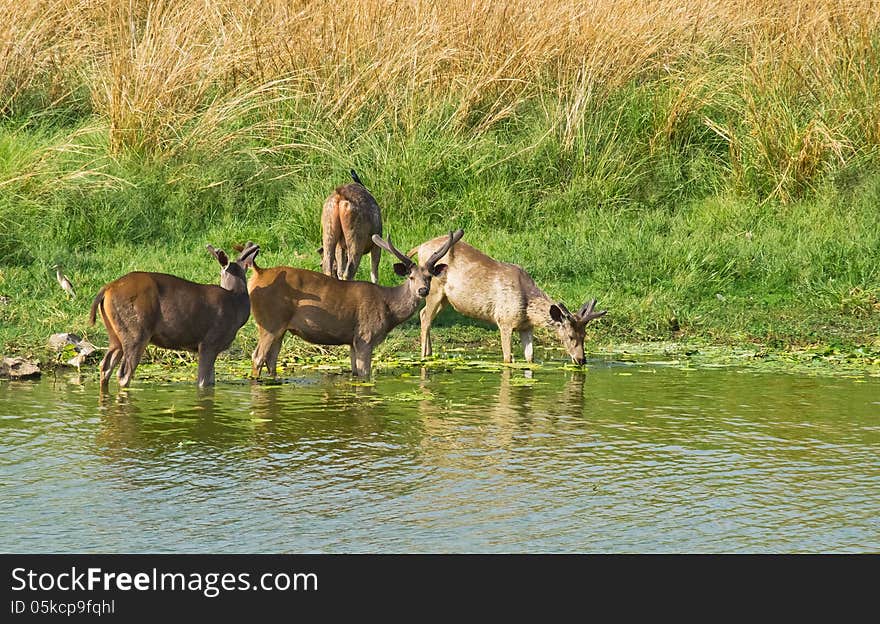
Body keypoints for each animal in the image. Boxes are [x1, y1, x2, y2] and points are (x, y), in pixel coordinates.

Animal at [90, 241, 262, 388]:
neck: (236, 305)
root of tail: (107, 288)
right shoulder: (210, 342)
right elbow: (203, 382)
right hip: (136, 331)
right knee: (124, 373)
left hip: (115, 333)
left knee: (105, 366)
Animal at [244, 228, 464, 376]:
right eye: (410, 277)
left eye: (429, 277)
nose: (422, 290)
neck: (389, 309)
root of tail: (257, 273)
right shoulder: (365, 336)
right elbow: (365, 374)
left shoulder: (351, 341)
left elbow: (354, 373)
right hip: (270, 320)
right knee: (257, 357)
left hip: (280, 327)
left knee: (271, 360)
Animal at [408, 239, 604, 366]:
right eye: (570, 336)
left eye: (584, 335)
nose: (581, 360)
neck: (527, 307)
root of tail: (420, 247)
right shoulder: (504, 321)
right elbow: (507, 359)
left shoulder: (527, 327)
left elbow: (530, 358)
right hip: (433, 290)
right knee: (424, 316)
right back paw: (424, 356)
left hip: (445, 299)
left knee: (426, 316)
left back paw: (430, 354)